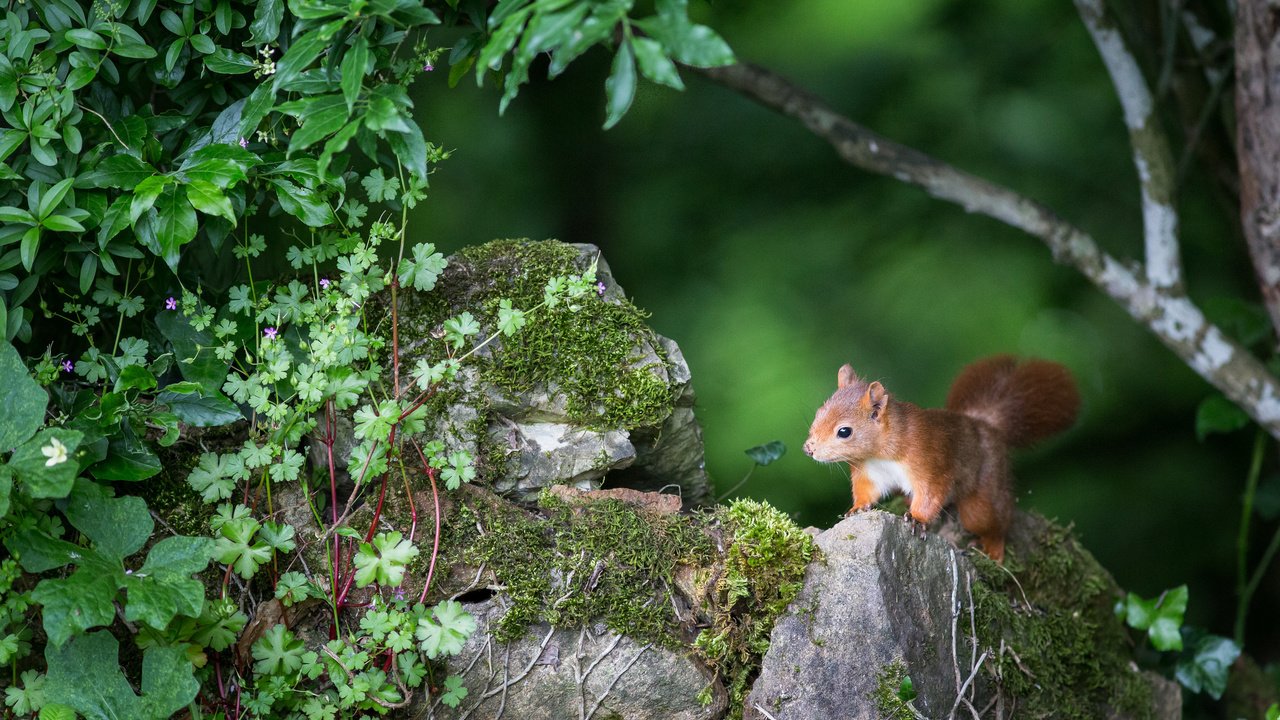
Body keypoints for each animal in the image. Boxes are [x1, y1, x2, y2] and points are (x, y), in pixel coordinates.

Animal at [803, 353, 1075, 561]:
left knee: (996, 520)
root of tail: (986, 426)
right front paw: (858, 508)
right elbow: (867, 491)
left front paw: (917, 519)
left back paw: (993, 551)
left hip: (984, 494)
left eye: (844, 431)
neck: (880, 454)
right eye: (818, 413)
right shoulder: (869, 472)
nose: (809, 449)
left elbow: (930, 494)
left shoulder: (930, 463)